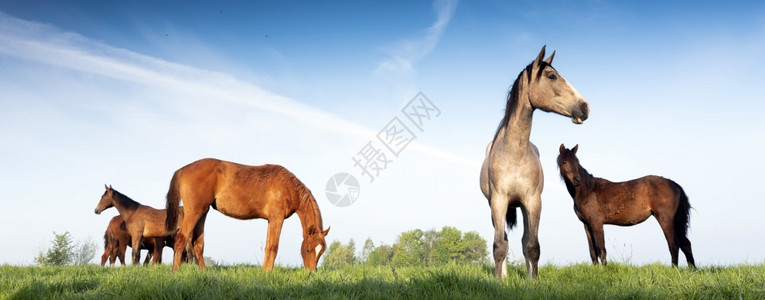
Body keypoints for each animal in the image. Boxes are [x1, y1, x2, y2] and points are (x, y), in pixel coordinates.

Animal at [166, 158, 326, 274]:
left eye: (321, 252)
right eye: (308, 250)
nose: (312, 272)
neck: (287, 186)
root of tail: (183, 169)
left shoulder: (271, 220)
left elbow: (268, 246)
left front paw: (264, 272)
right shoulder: (277, 219)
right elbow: (273, 247)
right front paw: (268, 273)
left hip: (202, 213)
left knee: (197, 244)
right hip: (194, 213)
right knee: (181, 239)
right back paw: (175, 272)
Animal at [478, 46, 592, 278]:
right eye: (551, 76)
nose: (585, 107)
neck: (514, 154)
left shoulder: (533, 202)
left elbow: (532, 246)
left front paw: (533, 279)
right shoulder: (498, 202)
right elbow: (499, 246)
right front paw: (498, 280)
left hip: (523, 207)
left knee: (523, 240)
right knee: (503, 239)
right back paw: (504, 274)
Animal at [556, 145, 692, 268]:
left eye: (577, 161)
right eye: (564, 161)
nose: (577, 180)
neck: (587, 190)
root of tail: (674, 184)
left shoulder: (596, 223)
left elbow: (601, 249)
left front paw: (604, 269)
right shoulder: (586, 224)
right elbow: (593, 251)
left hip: (665, 219)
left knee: (673, 244)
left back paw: (675, 269)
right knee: (685, 243)